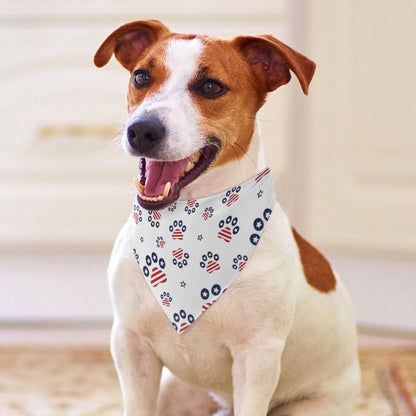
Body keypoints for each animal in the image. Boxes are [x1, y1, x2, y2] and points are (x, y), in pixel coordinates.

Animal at [94, 19, 360, 416]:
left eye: (210, 87)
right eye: (141, 76)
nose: (142, 129)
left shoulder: (257, 357)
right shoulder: (130, 344)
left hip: (307, 407)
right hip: (174, 390)